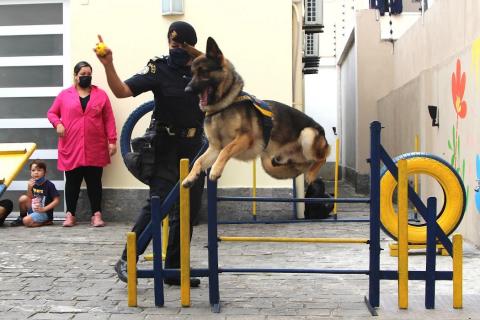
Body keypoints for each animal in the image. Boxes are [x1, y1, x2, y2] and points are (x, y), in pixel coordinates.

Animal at [181, 37, 330, 188]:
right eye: (192, 74)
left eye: (204, 72)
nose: (187, 90)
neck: (223, 106)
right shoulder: (214, 148)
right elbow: (198, 161)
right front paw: (190, 177)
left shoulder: (245, 137)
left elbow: (226, 149)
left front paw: (216, 170)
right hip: (276, 160)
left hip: (308, 133)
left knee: (322, 158)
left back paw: (311, 174)